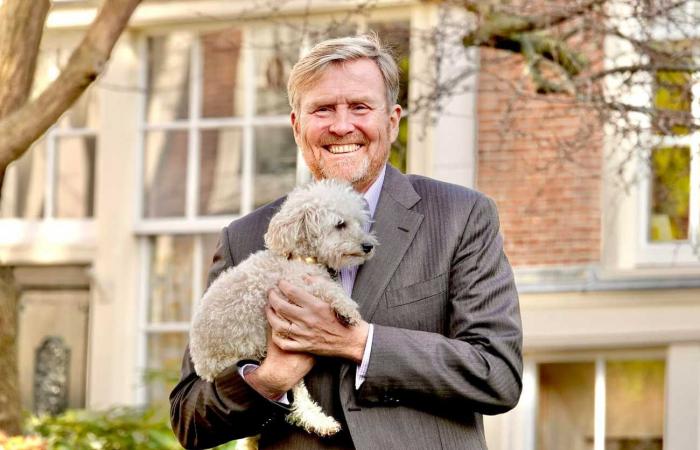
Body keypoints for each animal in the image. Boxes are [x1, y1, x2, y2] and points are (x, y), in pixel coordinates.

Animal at [189, 179, 378, 436]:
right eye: (340, 224)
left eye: (360, 222)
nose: (368, 245)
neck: (300, 257)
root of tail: (203, 369)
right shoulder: (293, 284)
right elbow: (326, 287)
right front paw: (347, 308)